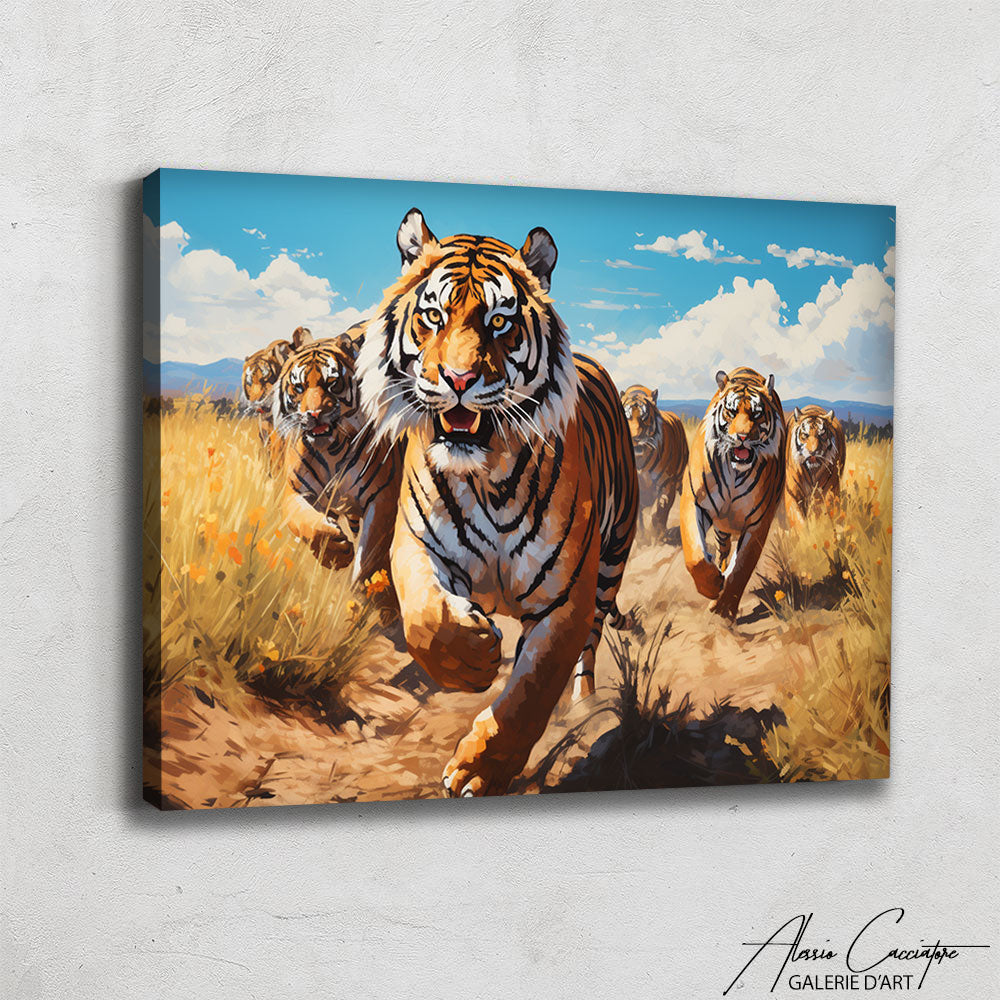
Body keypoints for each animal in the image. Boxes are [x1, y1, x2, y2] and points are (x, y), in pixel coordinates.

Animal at [273, 326, 403, 618]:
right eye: (299, 387)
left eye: (333, 383)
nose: (314, 414)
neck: (332, 449)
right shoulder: (295, 491)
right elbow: (305, 522)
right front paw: (334, 552)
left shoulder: (382, 495)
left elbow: (371, 555)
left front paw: (375, 597)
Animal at [357, 208, 638, 797]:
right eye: (434, 315)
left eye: (500, 322)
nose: (459, 379)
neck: (487, 475)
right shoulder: (417, 545)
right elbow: (425, 619)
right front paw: (474, 656)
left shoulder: (564, 600)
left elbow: (530, 692)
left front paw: (479, 771)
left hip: (611, 560)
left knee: (589, 646)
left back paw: (584, 708)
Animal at [620, 385, 689, 541]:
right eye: (626, 417)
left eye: (643, 417)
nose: (635, 438)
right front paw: (641, 539)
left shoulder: (666, 484)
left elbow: (659, 512)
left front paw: (657, 537)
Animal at [679, 367, 786, 620]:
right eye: (731, 411)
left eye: (757, 414)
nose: (743, 437)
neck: (735, 472)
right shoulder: (694, 501)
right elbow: (695, 556)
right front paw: (712, 585)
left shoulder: (759, 522)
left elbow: (742, 568)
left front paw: (723, 609)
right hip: (721, 527)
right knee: (723, 550)